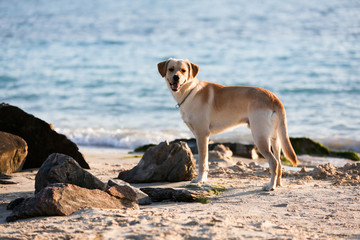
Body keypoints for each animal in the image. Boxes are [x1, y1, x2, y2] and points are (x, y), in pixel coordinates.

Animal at [158, 58, 298, 191]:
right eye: (171, 69)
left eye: (183, 70)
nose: (176, 77)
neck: (190, 91)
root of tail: (274, 98)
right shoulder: (204, 137)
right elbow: (206, 161)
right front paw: (204, 179)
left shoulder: (202, 135)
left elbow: (202, 161)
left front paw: (199, 180)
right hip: (275, 138)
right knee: (279, 163)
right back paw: (278, 184)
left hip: (260, 137)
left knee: (274, 162)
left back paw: (270, 186)